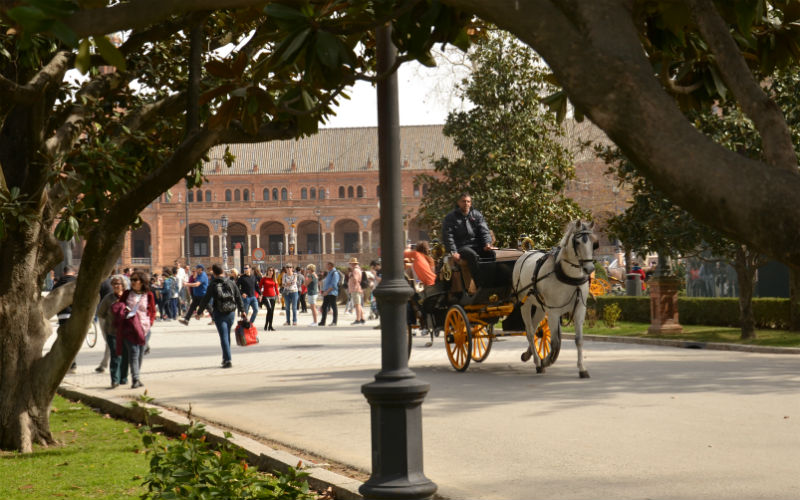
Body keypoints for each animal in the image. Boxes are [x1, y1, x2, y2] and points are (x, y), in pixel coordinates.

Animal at [512, 221, 592, 376]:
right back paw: (538, 362)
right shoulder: (554, 312)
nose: (589, 268)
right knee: (530, 332)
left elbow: (579, 340)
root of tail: (526, 253)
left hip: (541, 308)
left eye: (593, 242)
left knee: (535, 330)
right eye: (577, 242)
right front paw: (546, 361)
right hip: (525, 304)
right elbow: (555, 343)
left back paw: (528, 354)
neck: (568, 276)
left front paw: (582, 368)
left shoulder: (579, 309)